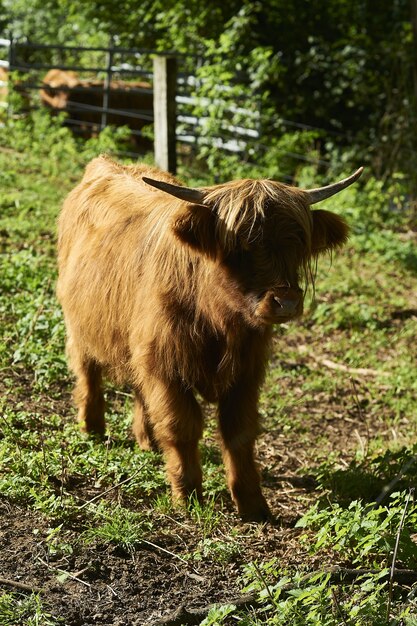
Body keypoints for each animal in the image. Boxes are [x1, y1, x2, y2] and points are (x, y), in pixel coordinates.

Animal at [57, 154, 362, 520]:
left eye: (298, 244)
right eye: (240, 246)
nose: (285, 301)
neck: (219, 321)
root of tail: (107, 163)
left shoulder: (246, 371)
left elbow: (239, 432)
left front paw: (253, 505)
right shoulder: (166, 366)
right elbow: (181, 426)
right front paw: (187, 497)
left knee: (138, 388)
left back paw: (147, 441)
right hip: (80, 323)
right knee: (87, 371)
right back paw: (92, 428)